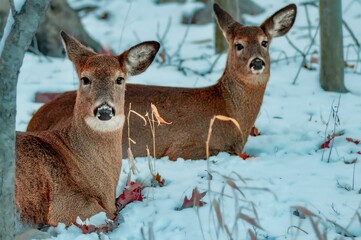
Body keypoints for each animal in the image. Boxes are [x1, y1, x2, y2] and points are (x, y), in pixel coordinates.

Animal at [27, 3, 296, 160]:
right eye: (238, 45)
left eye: (264, 42)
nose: (257, 62)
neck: (228, 111)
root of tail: (36, 118)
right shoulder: (186, 148)